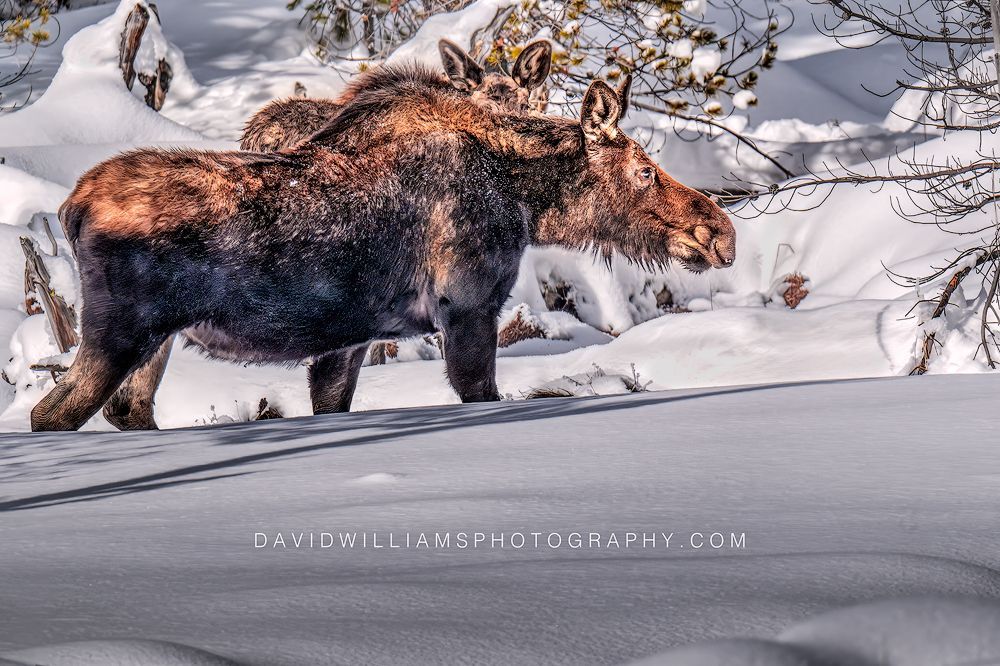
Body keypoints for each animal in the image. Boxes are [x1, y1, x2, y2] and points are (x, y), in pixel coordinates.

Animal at [32, 65, 735, 432]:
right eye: (642, 171)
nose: (721, 233)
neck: (525, 199)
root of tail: (70, 208)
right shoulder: (468, 306)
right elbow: (479, 392)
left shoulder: (348, 339)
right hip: (119, 330)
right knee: (51, 414)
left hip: (155, 340)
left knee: (125, 411)